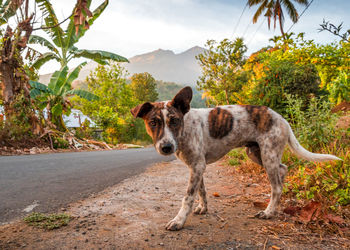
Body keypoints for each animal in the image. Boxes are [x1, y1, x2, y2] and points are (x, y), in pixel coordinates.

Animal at [130, 86, 340, 230]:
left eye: (174, 121)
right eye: (153, 122)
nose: (166, 147)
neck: (185, 128)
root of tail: (282, 119)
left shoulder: (197, 166)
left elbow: (188, 197)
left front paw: (179, 220)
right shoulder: (197, 166)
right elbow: (202, 191)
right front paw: (203, 208)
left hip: (268, 155)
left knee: (277, 187)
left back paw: (269, 212)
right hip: (256, 153)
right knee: (283, 169)